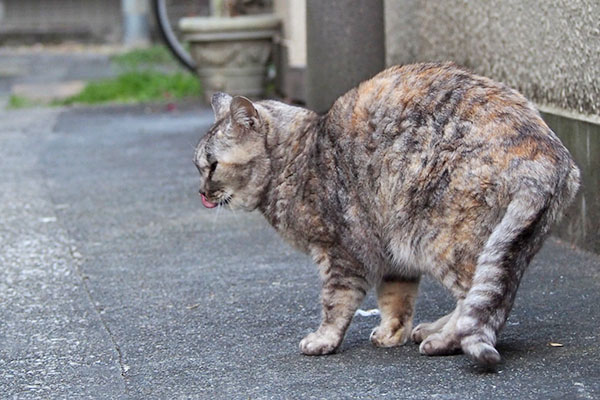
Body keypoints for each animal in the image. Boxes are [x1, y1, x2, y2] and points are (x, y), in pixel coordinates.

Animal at [195, 61, 580, 366]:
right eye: (200, 167)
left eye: (212, 166)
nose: (201, 192)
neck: (299, 157)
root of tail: (547, 156)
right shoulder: (393, 254)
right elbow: (395, 300)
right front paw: (391, 333)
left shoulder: (341, 253)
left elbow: (335, 303)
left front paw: (324, 339)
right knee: (485, 300)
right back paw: (433, 329)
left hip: (441, 238)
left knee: (478, 298)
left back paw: (443, 340)